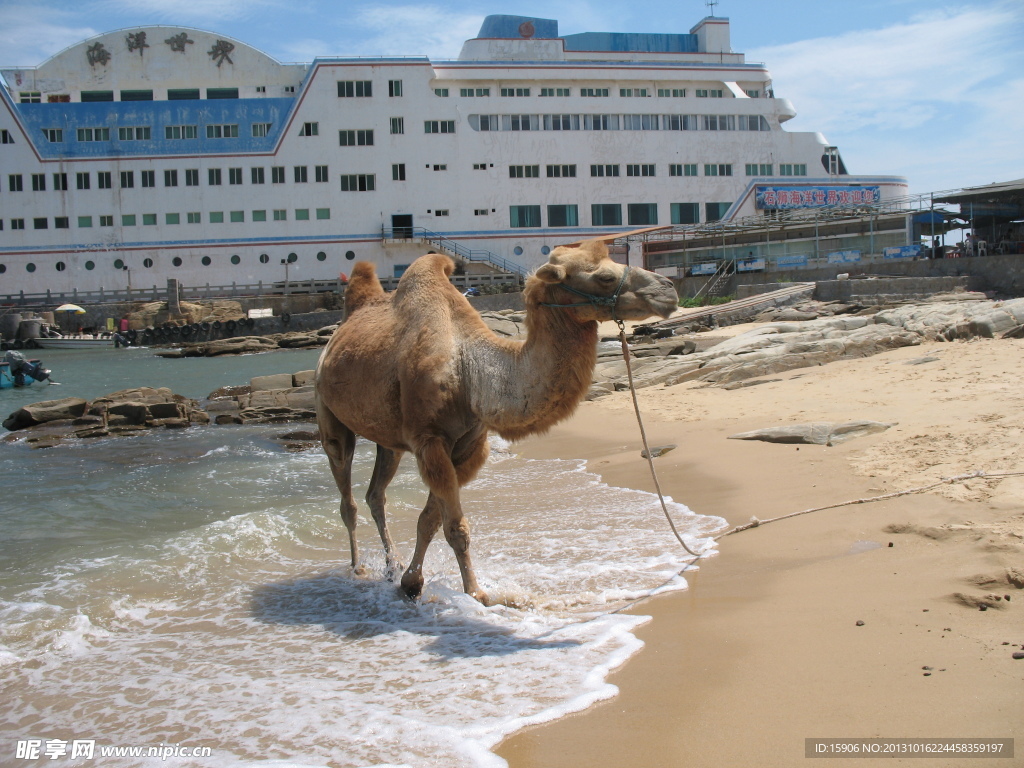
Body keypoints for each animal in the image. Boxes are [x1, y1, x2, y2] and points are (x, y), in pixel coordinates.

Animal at [315, 237, 675, 606]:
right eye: (604, 276)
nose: (669, 290)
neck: (468, 370)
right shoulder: (430, 440)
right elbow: (455, 527)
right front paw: (477, 593)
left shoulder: (469, 445)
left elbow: (430, 520)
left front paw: (411, 582)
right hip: (328, 414)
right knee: (347, 493)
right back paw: (357, 568)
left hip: (389, 439)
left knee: (376, 495)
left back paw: (390, 567)